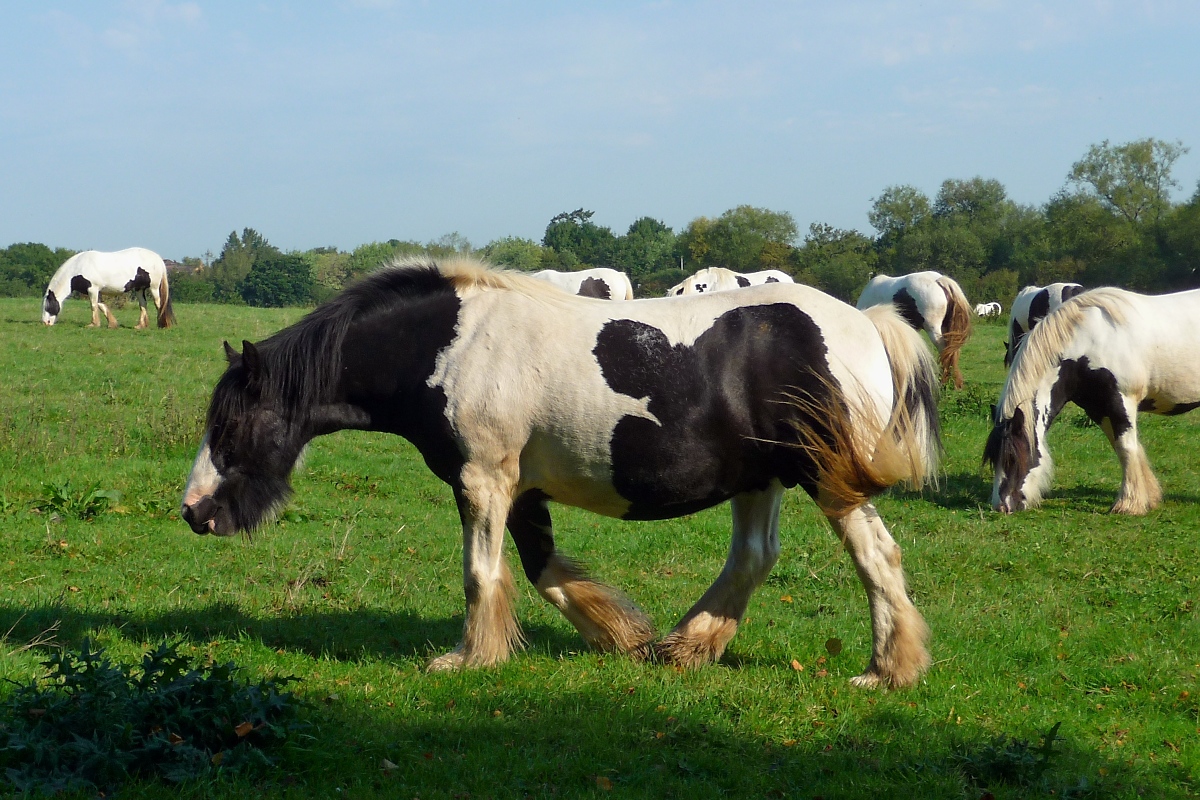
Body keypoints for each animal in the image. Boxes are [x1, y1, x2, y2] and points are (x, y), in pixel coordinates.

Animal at [43, 247, 175, 328]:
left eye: (47, 306)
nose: (45, 323)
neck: (78, 267)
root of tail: (158, 259)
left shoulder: (92, 289)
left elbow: (93, 306)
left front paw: (93, 324)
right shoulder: (96, 291)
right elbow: (101, 305)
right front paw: (112, 324)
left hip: (153, 287)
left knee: (159, 303)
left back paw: (162, 324)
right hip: (139, 289)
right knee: (143, 305)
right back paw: (140, 326)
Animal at [182, 256, 940, 690]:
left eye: (230, 427)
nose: (194, 511)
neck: (449, 345)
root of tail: (871, 323)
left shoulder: (482, 480)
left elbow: (481, 573)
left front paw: (469, 659)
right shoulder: (517, 488)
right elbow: (542, 569)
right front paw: (621, 638)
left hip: (823, 477)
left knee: (876, 556)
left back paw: (885, 671)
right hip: (760, 480)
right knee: (753, 558)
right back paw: (686, 648)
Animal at [984, 286, 1200, 513]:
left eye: (1013, 457)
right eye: (993, 459)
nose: (1001, 506)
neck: (1088, 344)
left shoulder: (1121, 402)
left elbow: (1127, 448)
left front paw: (1128, 503)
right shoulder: (1098, 408)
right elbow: (1123, 448)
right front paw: (1149, 496)